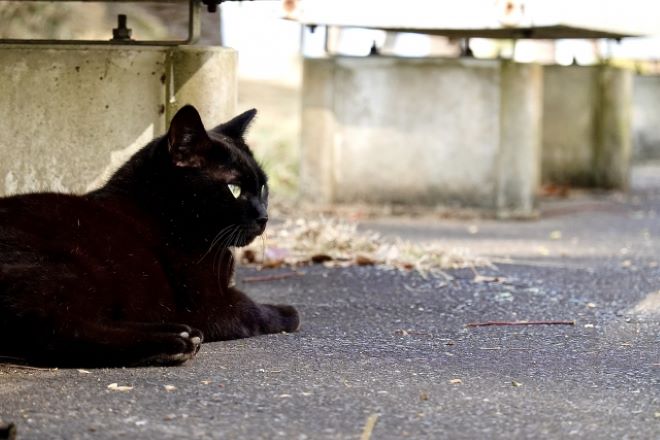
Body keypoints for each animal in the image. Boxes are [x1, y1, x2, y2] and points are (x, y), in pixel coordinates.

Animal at [0, 105, 300, 366]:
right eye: (234, 188)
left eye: (263, 188)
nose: (264, 217)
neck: (162, 213)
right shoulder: (211, 304)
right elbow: (254, 310)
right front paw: (288, 312)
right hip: (68, 266)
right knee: (58, 331)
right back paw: (176, 344)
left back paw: (180, 332)